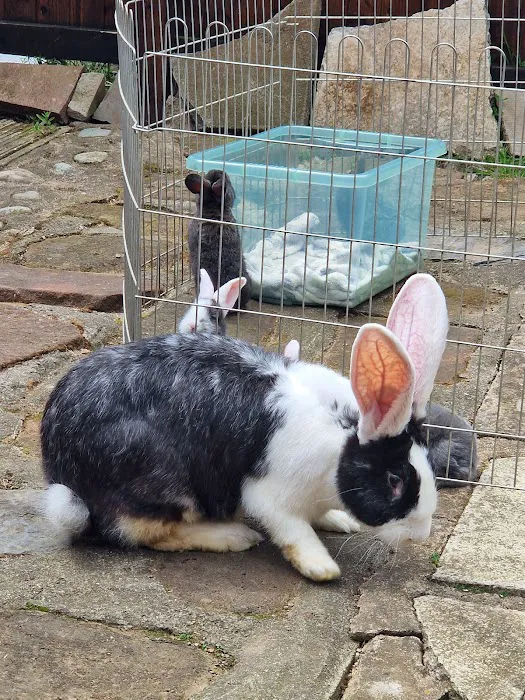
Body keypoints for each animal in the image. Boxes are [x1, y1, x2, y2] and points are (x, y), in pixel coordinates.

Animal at [41, 273, 447, 582]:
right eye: (395, 480)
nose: (422, 533)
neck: (337, 447)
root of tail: (60, 472)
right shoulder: (269, 495)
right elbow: (294, 531)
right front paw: (321, 566)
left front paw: (338, 521)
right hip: (162, 480)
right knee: (146, 533)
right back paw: (232, 536)